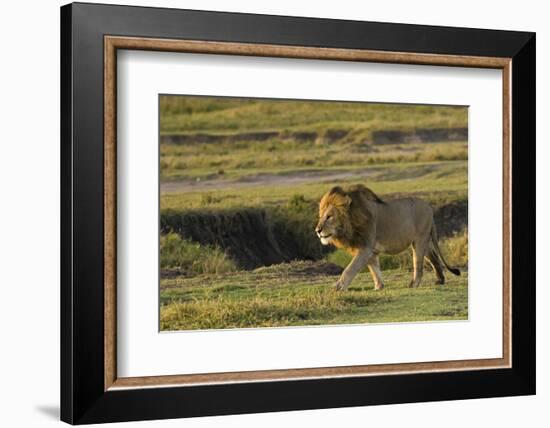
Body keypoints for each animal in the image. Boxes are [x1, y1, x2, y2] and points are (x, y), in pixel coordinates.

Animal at [314, 185, 462, 290]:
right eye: (321, 217)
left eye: (329, 216)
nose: (317, 230)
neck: (350, 223)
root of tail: (430, 208)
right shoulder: (370, 251)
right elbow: (374, 269)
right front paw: (379, 287)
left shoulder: (365, 248)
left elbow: (350, 269)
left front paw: (337, 288)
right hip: (425, 241)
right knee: (434, 258)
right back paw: (440, 280)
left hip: (419, 241)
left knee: (418, 265)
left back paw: (414, 284)